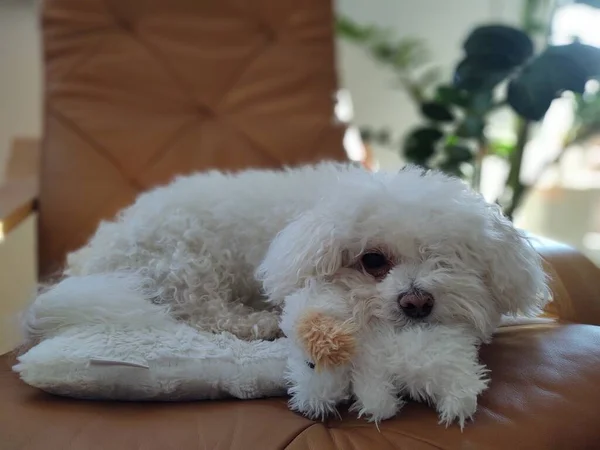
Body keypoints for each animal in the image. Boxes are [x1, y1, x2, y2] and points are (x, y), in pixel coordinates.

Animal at [22, 162, 548, 426]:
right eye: (372, 261)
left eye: (448, 259)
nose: (416, 303)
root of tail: (95, 255)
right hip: (186, 259)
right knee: (201, 311)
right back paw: (259, 320)